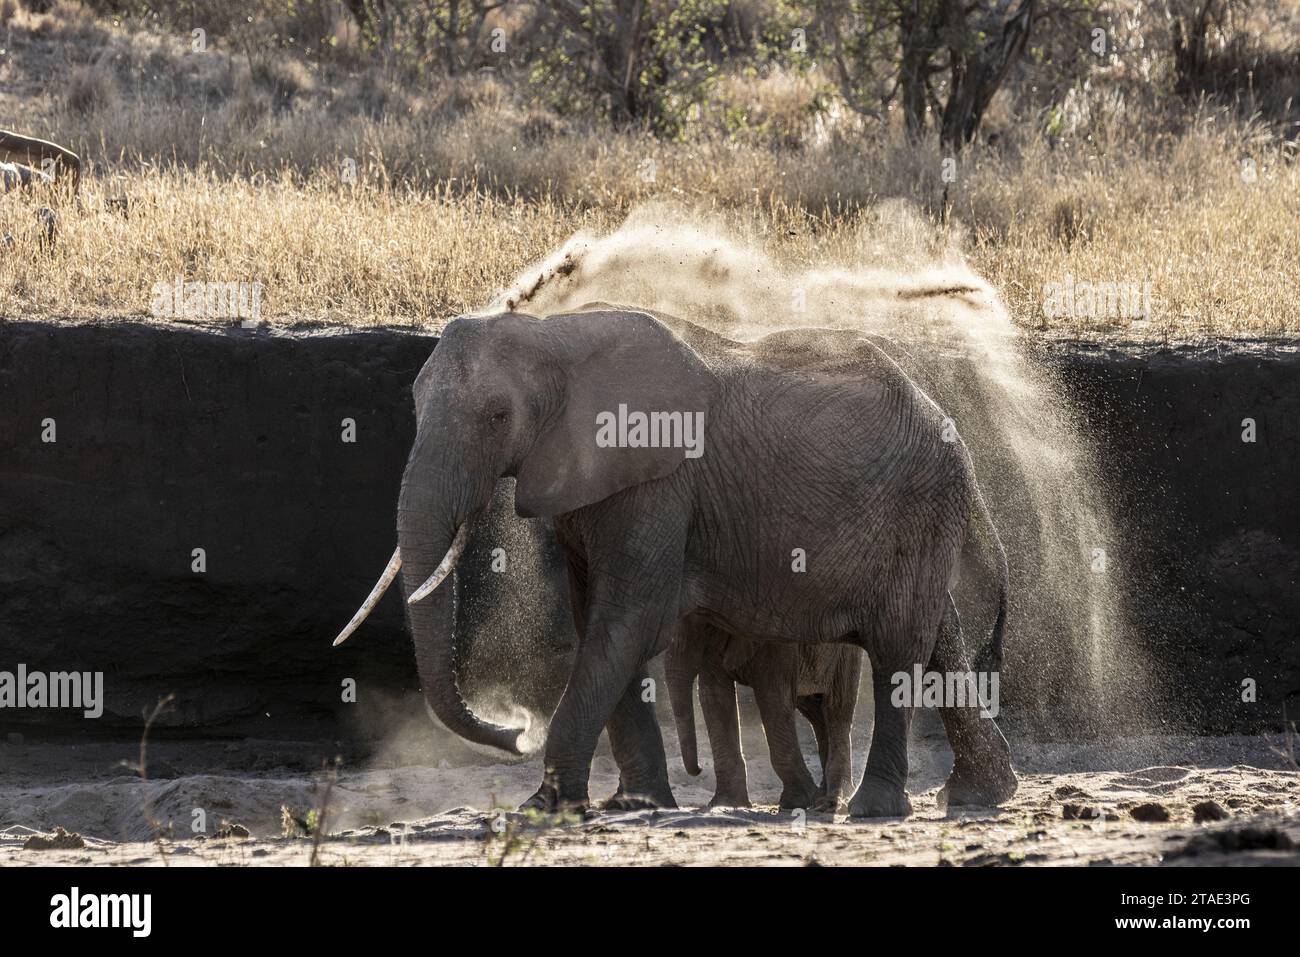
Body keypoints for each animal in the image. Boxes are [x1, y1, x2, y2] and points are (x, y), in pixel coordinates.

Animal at [665, 616, 857, 811]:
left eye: (708, 626)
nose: (699, 769)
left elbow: (773, 696)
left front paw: (798, 801)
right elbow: (714, 695)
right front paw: (726, 803)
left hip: (845, 652)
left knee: (837, 707)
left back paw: (833, 799)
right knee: (815, 712)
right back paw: (823, 796)